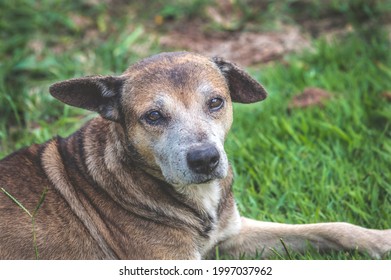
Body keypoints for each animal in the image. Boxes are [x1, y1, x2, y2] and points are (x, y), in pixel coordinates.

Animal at [0, 51, 391, 260]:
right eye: (153, 116)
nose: (205, 159)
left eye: (216, 102)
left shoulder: (233, 236)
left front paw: (379, 240)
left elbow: (331, 227)